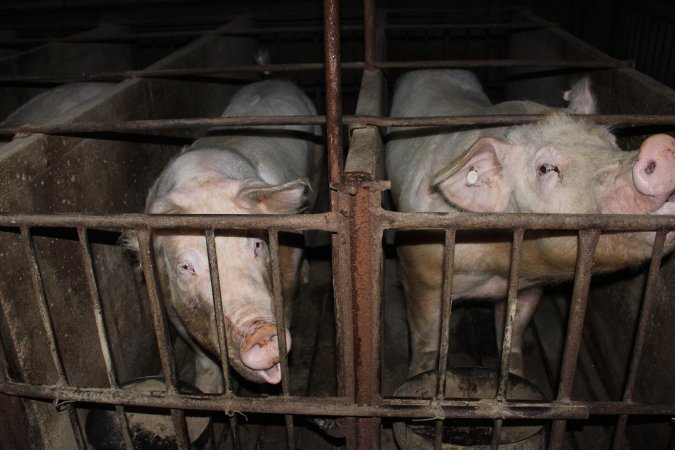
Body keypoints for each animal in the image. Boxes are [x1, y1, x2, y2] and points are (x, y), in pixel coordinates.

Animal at [125, 81, 324, 394]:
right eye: (185, 266)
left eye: (257, 245)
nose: (262, 331)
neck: (204, 180)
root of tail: (275, 81)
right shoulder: (171, 304)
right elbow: (202, 355)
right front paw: (207, 391)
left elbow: (288, 291)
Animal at [386, 70, 675, 378]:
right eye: (545, 168)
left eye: (612, 143)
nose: (661, 144)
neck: (496, 264)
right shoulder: (419, 272)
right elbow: (427, 339)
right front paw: (419, 375)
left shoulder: (529, 287)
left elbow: (512, 333)